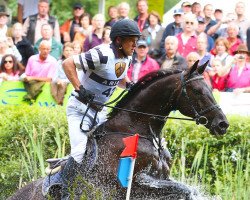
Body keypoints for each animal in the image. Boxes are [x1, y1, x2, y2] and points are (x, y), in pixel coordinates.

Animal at [8, 61, 229, 200]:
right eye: (198, 91)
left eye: (211, 88)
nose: (223, 124)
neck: (139, 130)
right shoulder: (134, 184)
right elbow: (185, 190)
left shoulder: (160, 180)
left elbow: (183, 190)